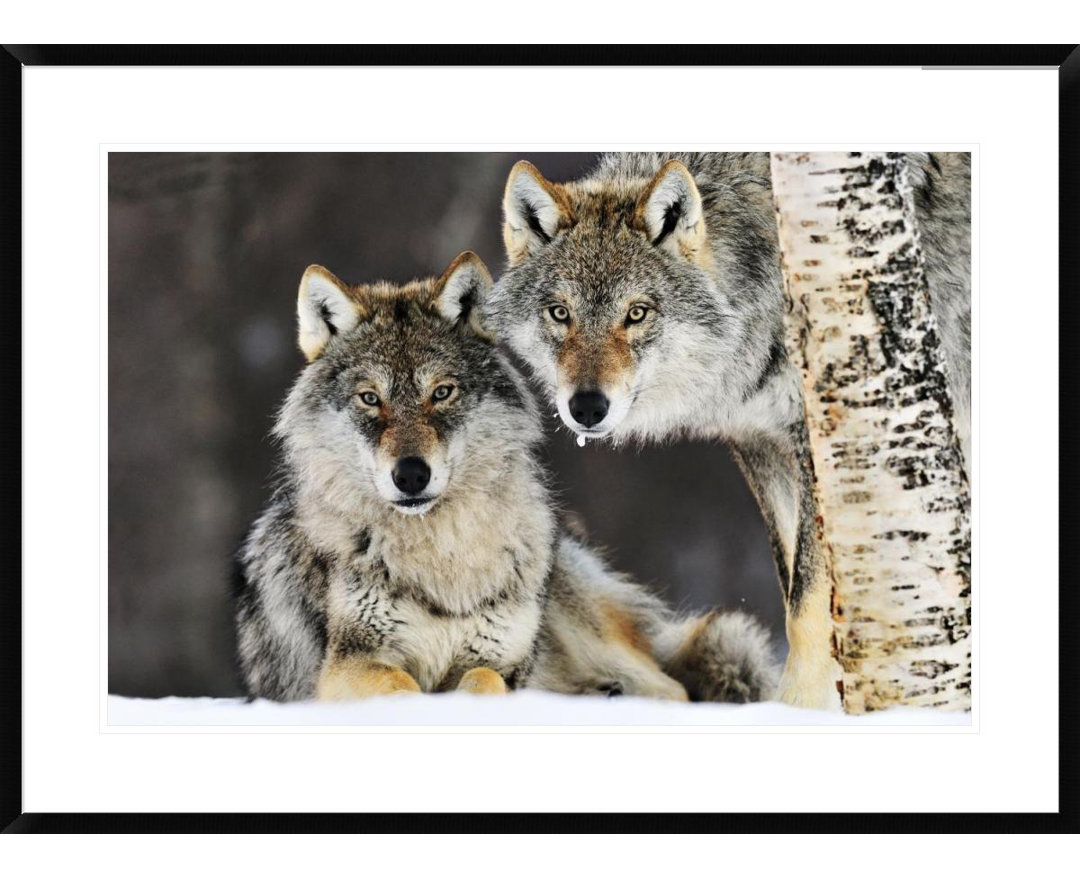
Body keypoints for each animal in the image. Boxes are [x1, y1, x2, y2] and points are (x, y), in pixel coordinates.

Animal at [233, 251, 778, 703]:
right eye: (370, 399)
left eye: (442, 392)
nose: (411, 475)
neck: (443, 555)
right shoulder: (348, 665)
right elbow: (400, 685)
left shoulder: (499, 660)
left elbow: (482, 681)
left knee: (674, 689)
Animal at [482, 152, 971, 708]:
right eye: (560, 313)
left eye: (637, 313)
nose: (586, 407)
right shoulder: (762, 443)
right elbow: (791, 586)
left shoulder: (816, 443)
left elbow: (806, 603)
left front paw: (798, 708)